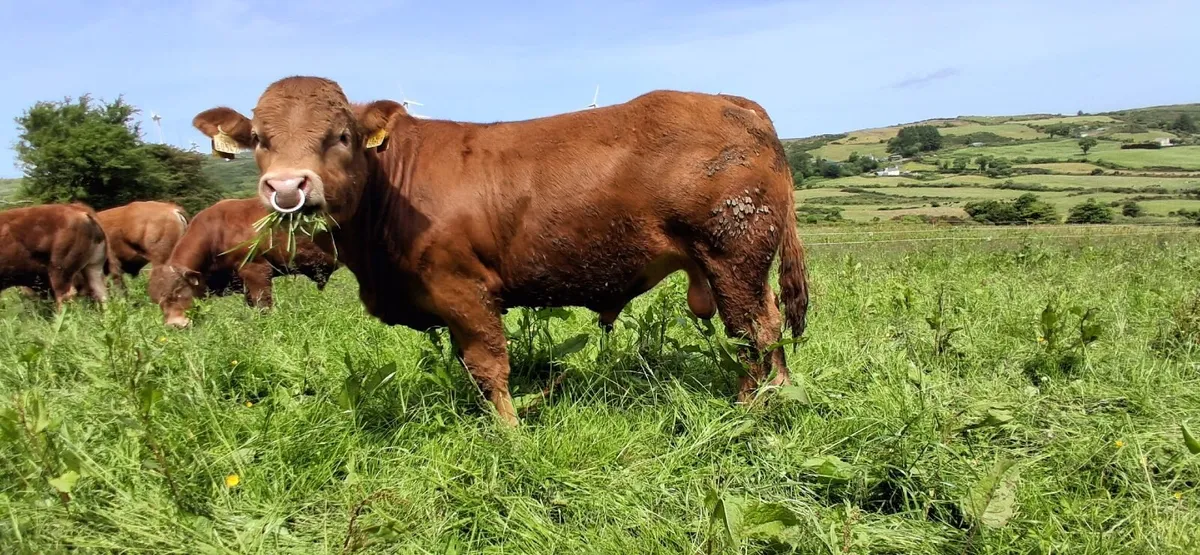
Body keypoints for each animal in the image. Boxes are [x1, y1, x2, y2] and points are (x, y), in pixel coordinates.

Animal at [192, 76, 810, 426]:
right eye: (259, 140)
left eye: (340, 136)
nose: (288, 187)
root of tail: (733, 102)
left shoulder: (464, 289)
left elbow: (488, 366)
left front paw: (509, 434)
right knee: (767, 328)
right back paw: (778, 397)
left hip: (733, 257)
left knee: (756, 331)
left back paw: (751, 407)